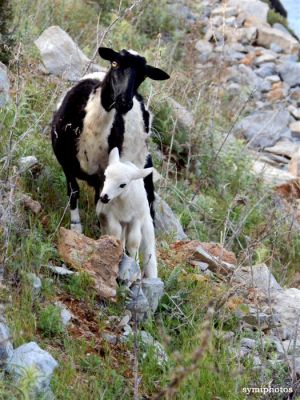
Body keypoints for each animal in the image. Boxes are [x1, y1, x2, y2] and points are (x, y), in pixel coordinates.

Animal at [51, 47, 169, 233]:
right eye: (114, 63)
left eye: (143, 76)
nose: (124, 102)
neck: (92, 129)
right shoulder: (66, 161)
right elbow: (74, 192)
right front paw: (76, 226)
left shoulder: (105, 175)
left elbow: (102, 203)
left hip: (142, 162)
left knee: (148, 201)